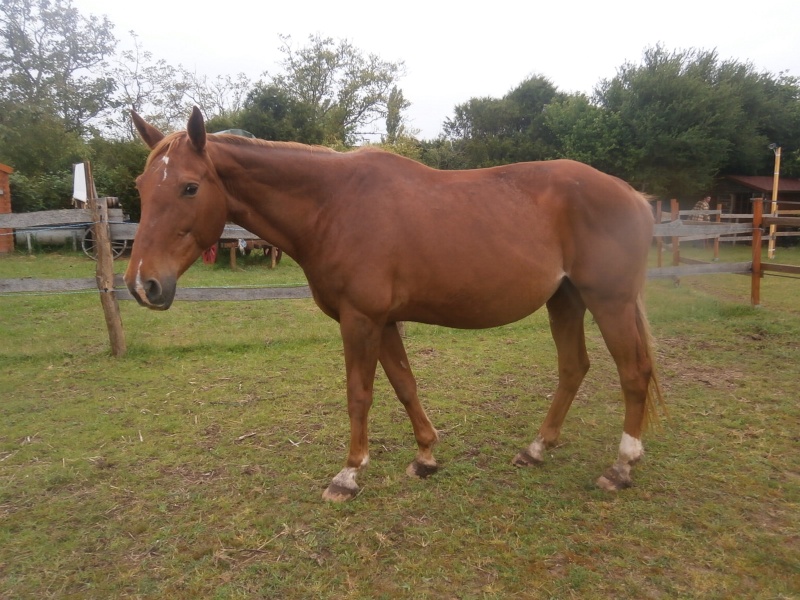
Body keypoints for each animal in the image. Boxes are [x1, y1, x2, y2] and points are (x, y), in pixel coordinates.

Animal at [125, 106, 664, 502]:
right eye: (141, 188)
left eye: (190, 186)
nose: (142, 284)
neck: (333, 204)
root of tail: (633, 196)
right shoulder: (382, 322)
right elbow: (404, 384)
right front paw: (426, 456)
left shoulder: (360, 320)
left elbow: (359, 394)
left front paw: (347, 475)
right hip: (565, 300)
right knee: (573, 367)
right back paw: (536, 449)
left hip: (609, 301)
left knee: (633, 373)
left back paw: (621, 467)